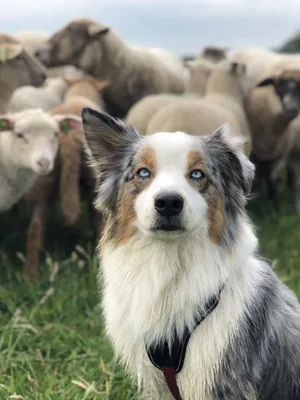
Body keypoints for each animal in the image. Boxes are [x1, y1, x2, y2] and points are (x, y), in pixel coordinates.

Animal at [81, 106, 300, 400]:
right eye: (142, 173)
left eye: (197, 174)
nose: (168, 202)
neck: (169, 260)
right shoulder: (160, 383)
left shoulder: (222, 375)